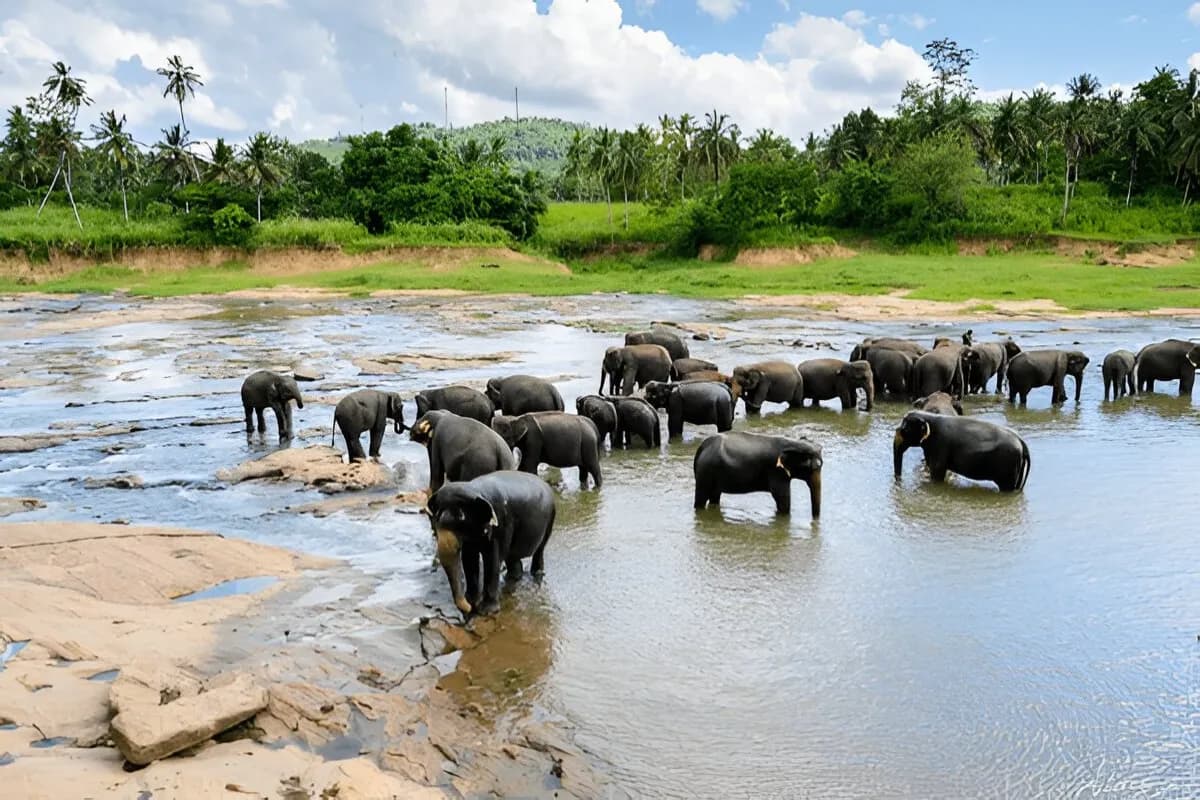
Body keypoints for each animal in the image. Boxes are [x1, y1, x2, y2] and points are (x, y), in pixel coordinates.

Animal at [427, 471, 556, 617]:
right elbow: (469, 559)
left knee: (540, 549)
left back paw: (536, 574)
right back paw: (512, 577)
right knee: (512, 557)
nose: (468, 610)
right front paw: (472, 601)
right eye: (437, 516)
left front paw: (486, 611)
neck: (474, 489)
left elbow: (492, 559)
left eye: (461, 517)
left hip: (550, 519)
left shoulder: (501, 525)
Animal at [693, 432, 822, 518]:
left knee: (715, 496)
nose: (815, 520)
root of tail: (702, 447)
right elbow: (782, 497)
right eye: (815, 467)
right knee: (701, 497)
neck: (793, 442)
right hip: (706, 471)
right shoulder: (776, 471)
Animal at [893, 410, 1030, 492]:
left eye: (905, 429)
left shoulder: (941, 444)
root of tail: (1021, 442)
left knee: (1006, 487)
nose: (899, 483)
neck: (929, 416)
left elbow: (937, 471)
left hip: (1008, 466)